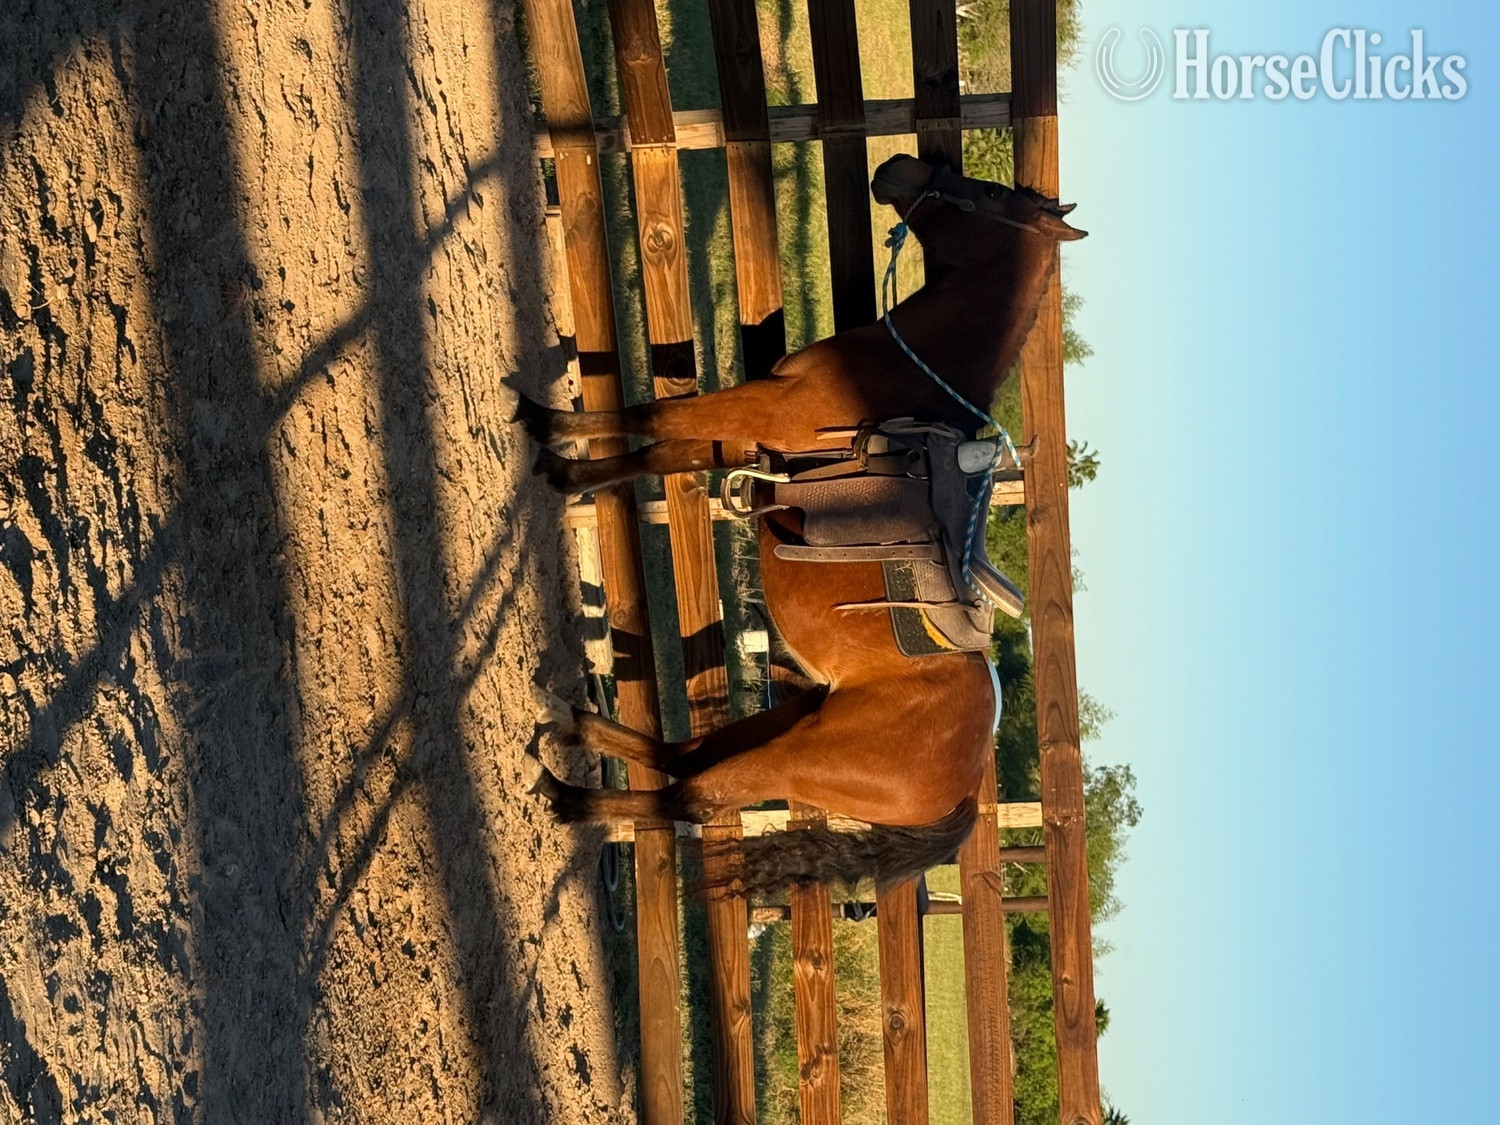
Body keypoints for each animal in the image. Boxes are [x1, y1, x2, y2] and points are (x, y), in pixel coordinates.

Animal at [515, 154, 1085, 897]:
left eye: (985, 193)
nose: (899, 166)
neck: (898, 369)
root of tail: (963, 786)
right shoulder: (739, 438)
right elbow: (655, 452)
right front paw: (567, 468)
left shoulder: (751, 409)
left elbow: (652, 418)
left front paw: (548, 427)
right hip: (791, 716)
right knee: (687, 754)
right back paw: (572, 721)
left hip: (797, 756)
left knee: (690, 796)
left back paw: (569, 797)